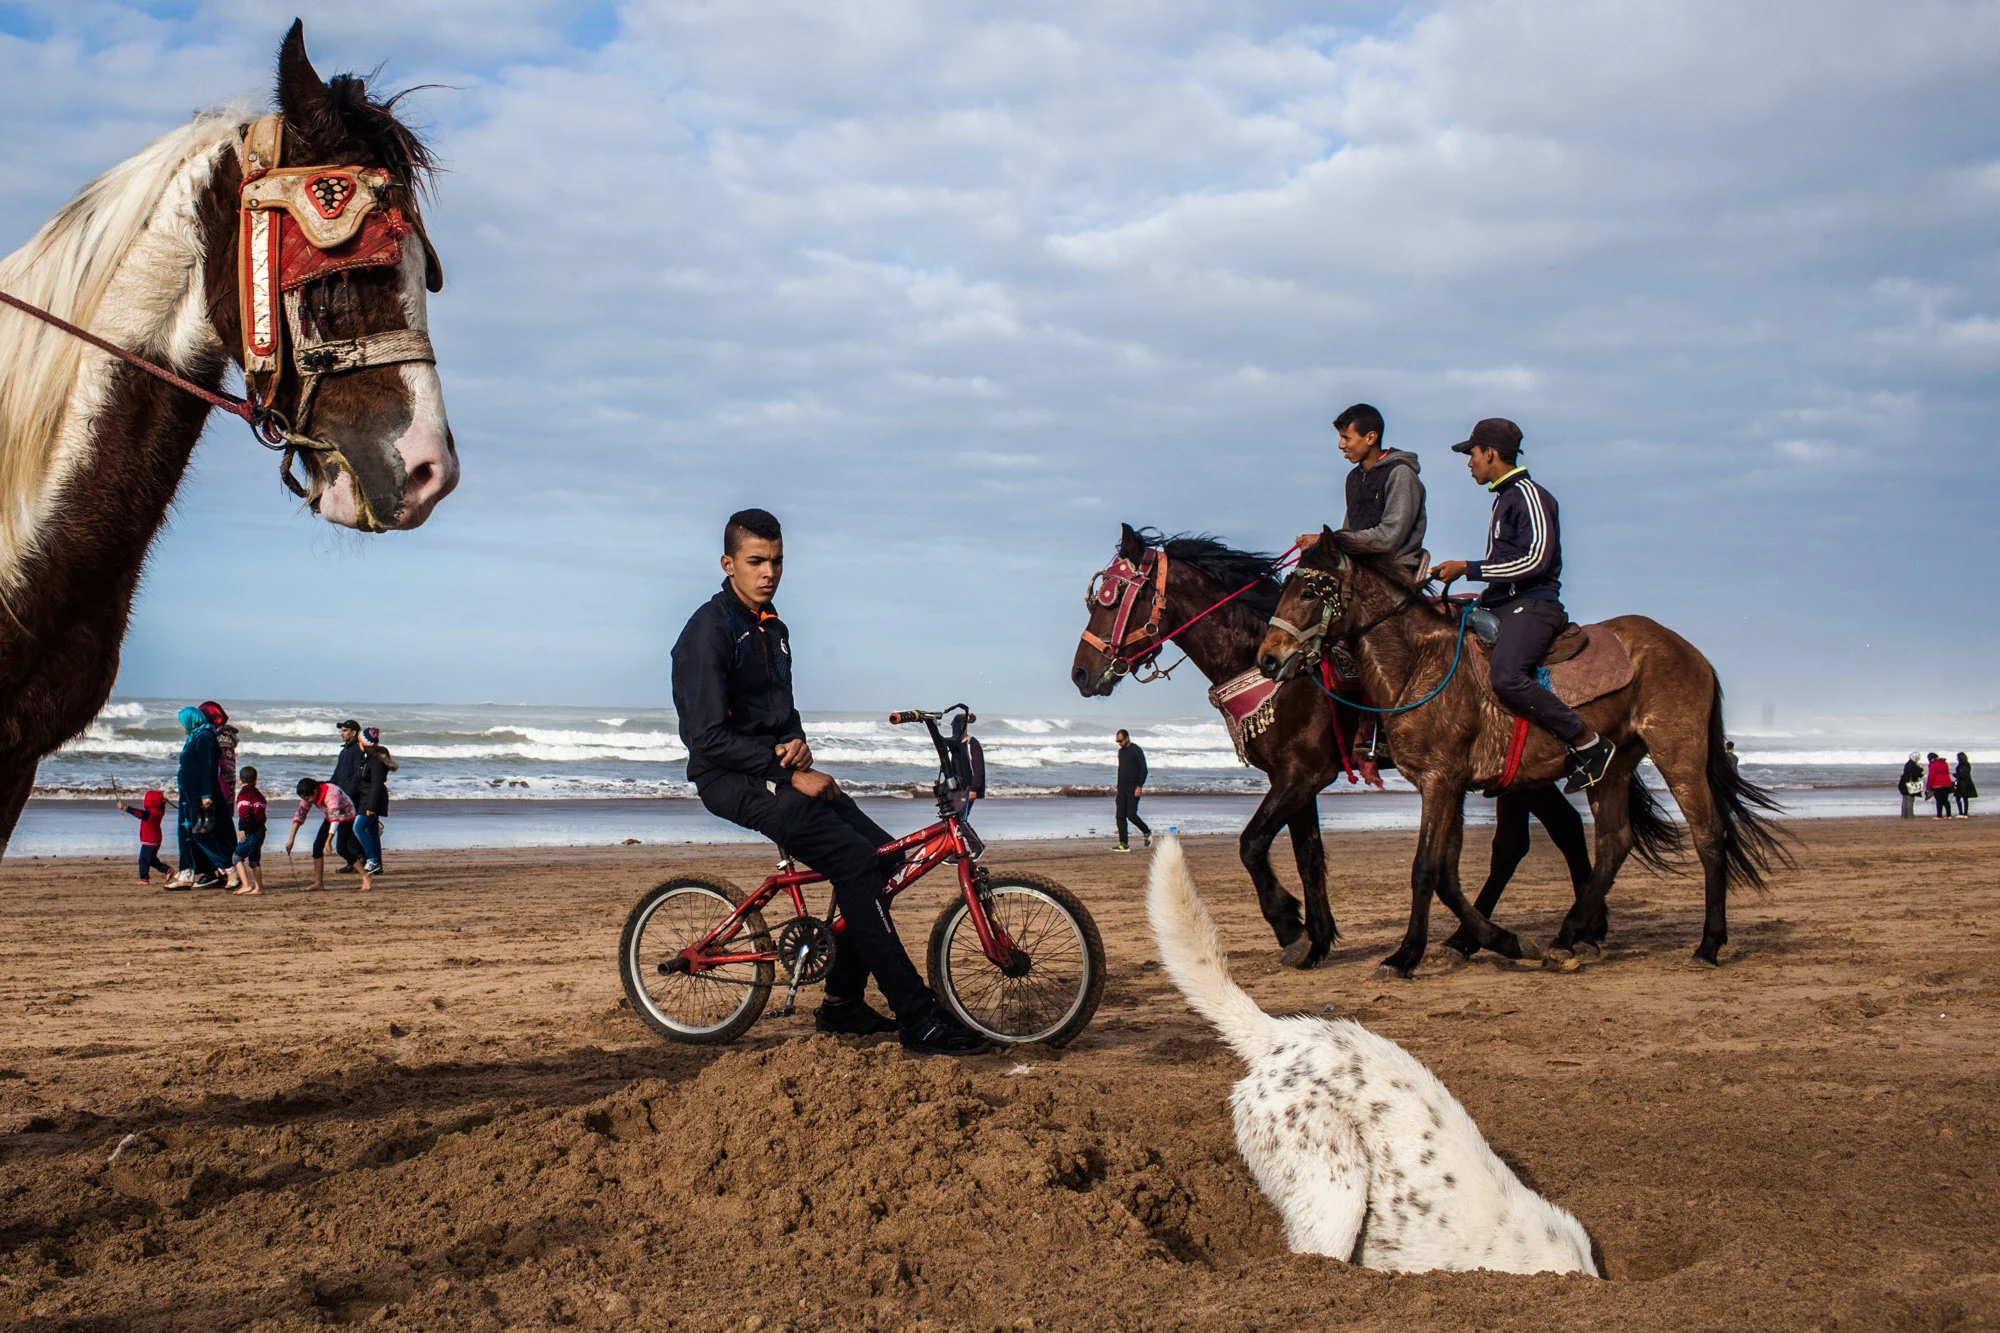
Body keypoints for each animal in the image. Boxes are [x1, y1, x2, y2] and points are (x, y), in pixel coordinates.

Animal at [1072, 524, 1664, 972]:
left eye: (1112, 599)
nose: (1081, 674)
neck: (1265, 660)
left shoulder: (1304, 775)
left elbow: (1252, 843)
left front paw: (1289, 925)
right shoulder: (1294, 779)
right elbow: (1307, 855)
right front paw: (1316, 939)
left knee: (1533, 840)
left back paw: (1535, 934)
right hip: (1523, 774)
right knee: (1556, 831)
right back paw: (1567, 930)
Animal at [1256, 528, 1792, 976]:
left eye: (1308, 592)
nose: (1268, 659)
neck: (1418, 666)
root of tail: (1691, 652)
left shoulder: (1439, 781)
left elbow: (1426, 870)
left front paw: (1405, 956)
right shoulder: (1450, 786)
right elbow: (1448, 876)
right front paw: (1505, 942)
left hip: (1677, 751)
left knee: (1708, 834)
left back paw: (1708, 943)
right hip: (1615, 766)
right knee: (1613, 842)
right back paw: (1566, 938)